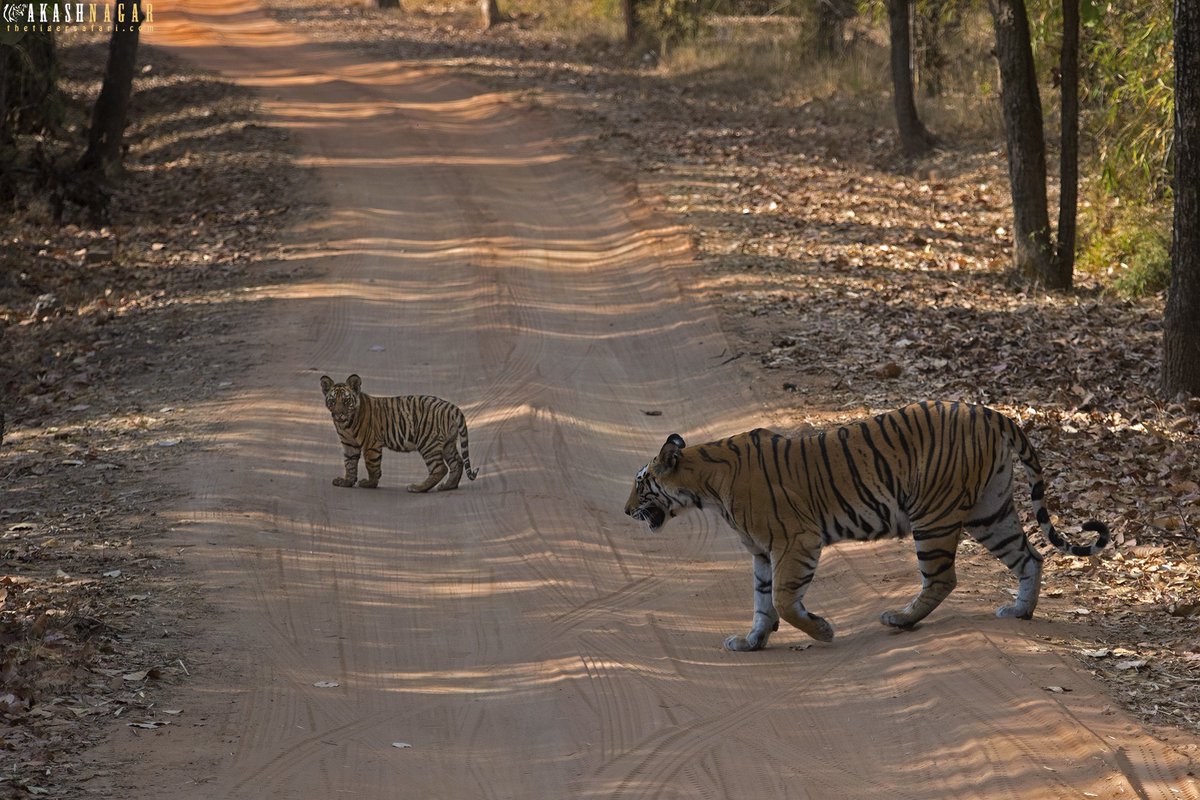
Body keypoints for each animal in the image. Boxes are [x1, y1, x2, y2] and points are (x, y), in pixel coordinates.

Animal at [320, 374, 479, 492]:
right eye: (332, 401)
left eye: (346, 401)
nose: (339, 414)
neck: (345, 425)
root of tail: (452, 407)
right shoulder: (349, 444)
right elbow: (350, 463)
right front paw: (346, 481)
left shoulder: (371, 443)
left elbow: (372, 465)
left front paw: (370, 483)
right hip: (448, 443)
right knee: (457, 462)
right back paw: (448, 486)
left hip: (428, 443)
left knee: (440, 468)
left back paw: (417, 488)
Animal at [624, 400, 1109, 651]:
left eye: (640, 484)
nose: (626, 511)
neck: (704, 485)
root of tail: (991, 412)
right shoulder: (762, 551)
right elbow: (762, 601)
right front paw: (752, 641)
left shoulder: (797, 542)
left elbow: (782, 599)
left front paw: (822, 630)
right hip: (990, 511)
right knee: (1029, 557)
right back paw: (1020, 611)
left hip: (933, 517)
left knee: (943, 578)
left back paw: (901, 619)